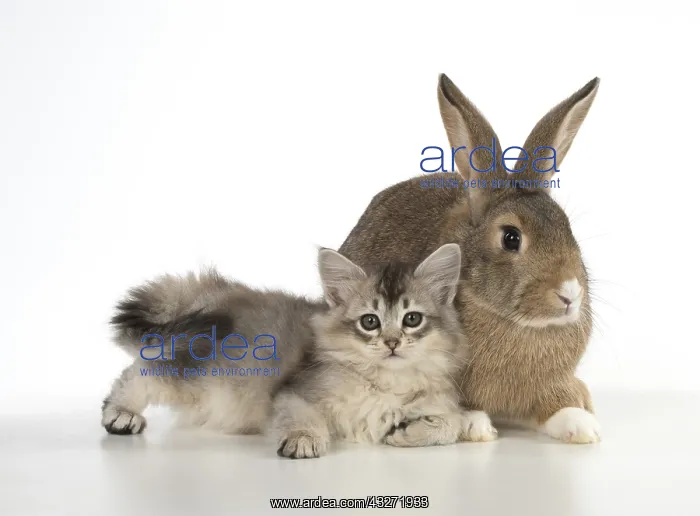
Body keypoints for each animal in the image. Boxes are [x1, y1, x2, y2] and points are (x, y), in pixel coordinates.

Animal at [339, 74, 601, 444]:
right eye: (510, 238)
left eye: (567, 228)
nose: (569, 293)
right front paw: (477, 426)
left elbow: (557, 404)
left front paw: (583, 427)